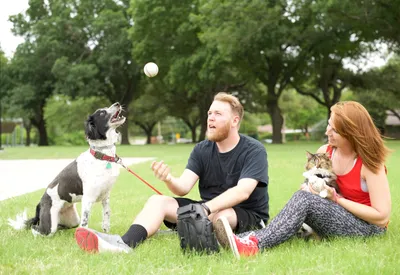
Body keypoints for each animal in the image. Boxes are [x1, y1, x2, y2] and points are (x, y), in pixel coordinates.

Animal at [8, 102, 126, 236]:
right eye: (102, 113)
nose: (117, 103)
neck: (102, 155)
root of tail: (40, 203)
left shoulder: (106, 196)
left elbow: (106, 214)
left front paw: (106, 231)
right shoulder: (88, 199)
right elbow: (85, 223)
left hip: (72, 220)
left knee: (60, 227)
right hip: (49, 226)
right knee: (36, 228)